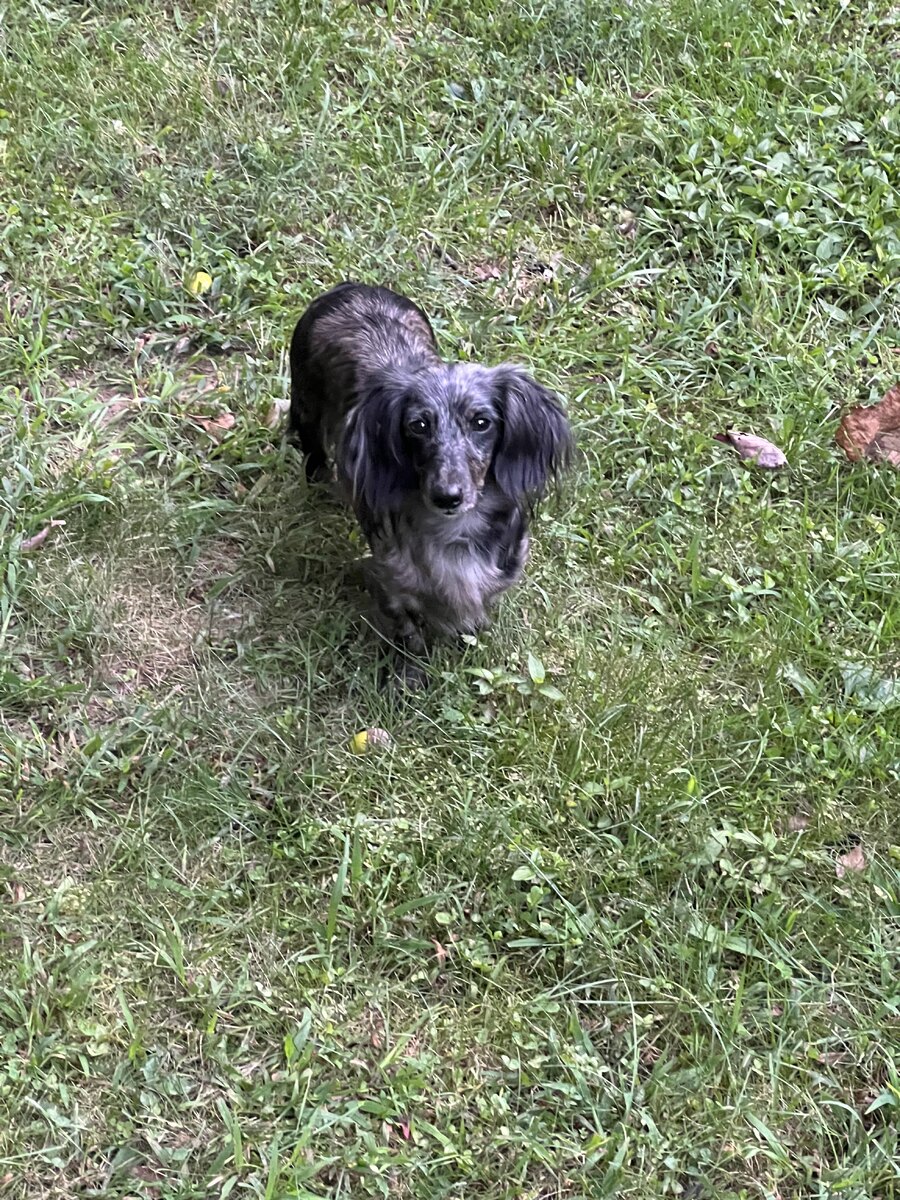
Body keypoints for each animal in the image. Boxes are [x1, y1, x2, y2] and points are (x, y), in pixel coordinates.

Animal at [288, 281, 573, 685]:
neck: (454, 534)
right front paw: (411, 675)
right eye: (418, 425)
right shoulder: (391, 577)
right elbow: (408, 629)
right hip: (307, 407)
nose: (447, 496)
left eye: (482, 422)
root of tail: (350, 287)